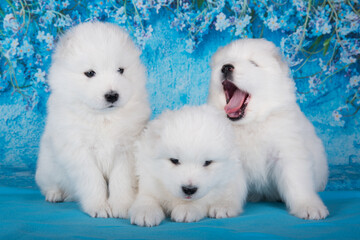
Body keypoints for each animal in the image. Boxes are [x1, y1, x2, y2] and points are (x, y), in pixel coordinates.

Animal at [34, 21, 150, 218]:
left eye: (120, 70)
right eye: (89, 73)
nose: (112, 95)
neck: (103, 117)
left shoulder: (126, 150)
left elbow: (121, 181)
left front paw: (121, 206)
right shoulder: (79, 151)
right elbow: (93, 180)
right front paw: (99, 207)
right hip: (47, 168)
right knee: (48, 184)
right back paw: (54, 194)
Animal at [208, 39, 330, 219]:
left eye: (253, 63)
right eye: (224, 61)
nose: (226, 67)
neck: (252, 123)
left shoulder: (288, 152)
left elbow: (298, 182)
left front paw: (309, 206)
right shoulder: (232, 158)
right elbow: (228, 185)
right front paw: (223, 205)